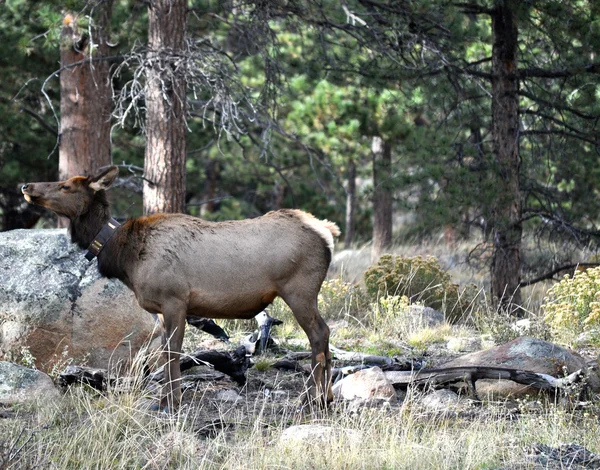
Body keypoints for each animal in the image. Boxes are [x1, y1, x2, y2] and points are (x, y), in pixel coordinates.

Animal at [21, 168, 340, 412]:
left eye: (65, 185)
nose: (26, 185)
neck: (125, 258)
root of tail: (327, 232)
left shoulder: (174, 298)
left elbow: (173, 352)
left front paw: (170, 402)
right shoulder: (162, 309)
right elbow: (166, 351)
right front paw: (165, 399)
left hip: (299, 289)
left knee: (319, 334)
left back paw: (311, 399)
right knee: (323, 335)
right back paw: (326, 397)